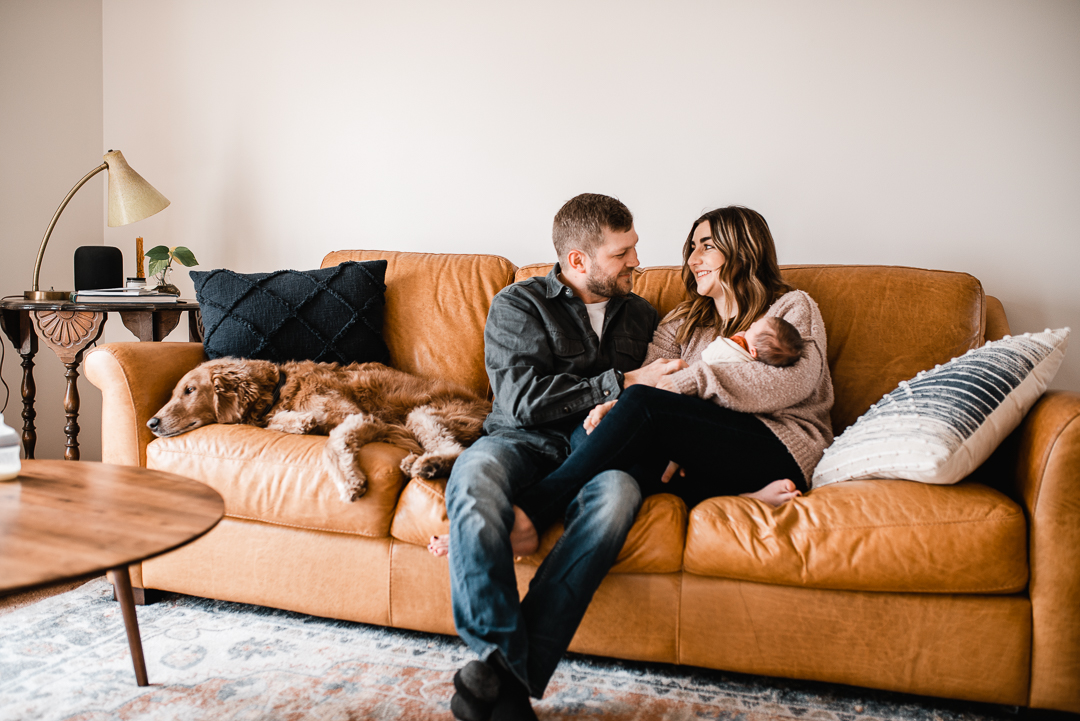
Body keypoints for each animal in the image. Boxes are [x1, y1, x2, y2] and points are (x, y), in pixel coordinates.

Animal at [146, 358, 490, 500]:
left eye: (189, 390)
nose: (151, 422)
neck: (278, 389)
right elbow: (278, 420)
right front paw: (301, 422)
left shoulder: (360, 416)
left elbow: (332, 445)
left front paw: (350, 482)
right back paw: (415, 462)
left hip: (423, 414)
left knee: (456, 449)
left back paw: (427, 464)